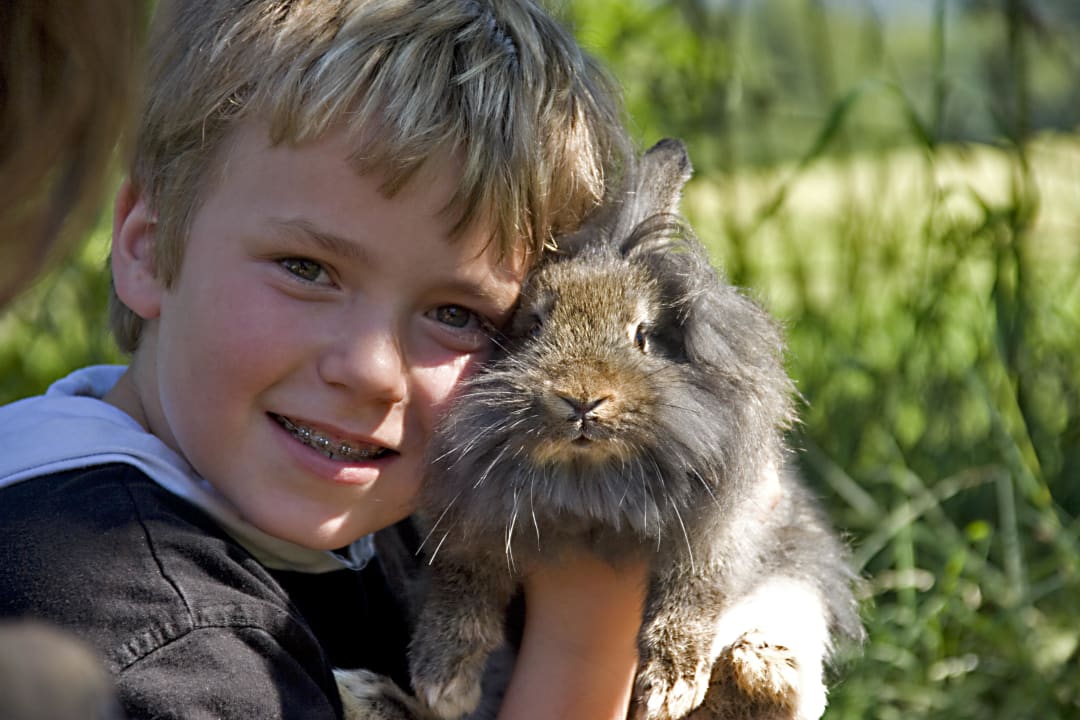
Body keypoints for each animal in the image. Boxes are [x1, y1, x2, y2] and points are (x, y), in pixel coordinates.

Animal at [335, 138, 864, 720]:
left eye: (643, 336)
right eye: (532, 325)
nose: (582, 399)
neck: (588, 483)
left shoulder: (726, 524)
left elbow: (696, 587)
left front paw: (671, 683)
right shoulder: (467, 520)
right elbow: (462, 580)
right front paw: (442, 677)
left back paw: (761, 672)